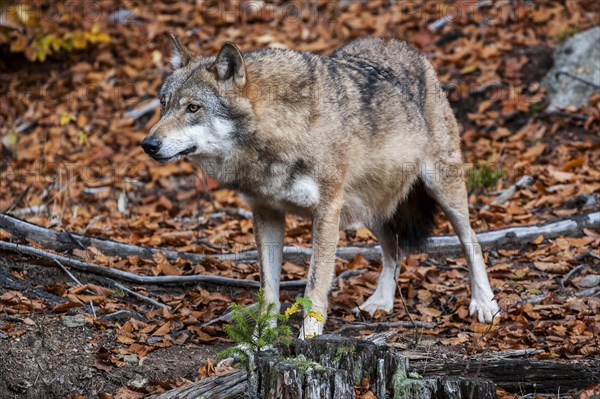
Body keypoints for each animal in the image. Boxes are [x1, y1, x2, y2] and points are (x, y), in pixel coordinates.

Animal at [143, 36, 500, 340]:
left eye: (193, 108)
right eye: (163, 105)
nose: (148, 144)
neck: (279, 132)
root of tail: (400, 44)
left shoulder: (326, 211)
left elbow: (314, 288)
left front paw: (307, 340)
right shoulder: (266, 213)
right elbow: (268, 290)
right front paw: (259, 341)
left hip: (442, 189)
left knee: (472, 240)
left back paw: (484, 303)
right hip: (369, 208)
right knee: (393, 252)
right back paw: (381, 301)